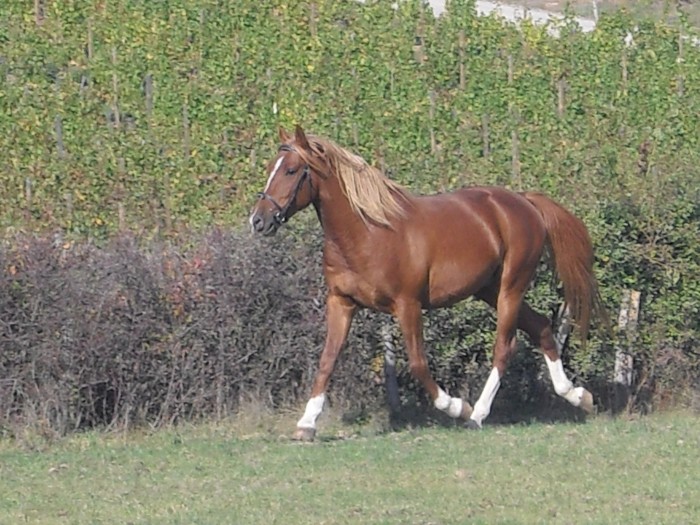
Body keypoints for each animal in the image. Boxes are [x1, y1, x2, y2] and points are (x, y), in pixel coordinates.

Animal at [249, 125, 604, 440]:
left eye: (292, 170)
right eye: (269, 168)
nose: (258, 220)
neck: (368, 232)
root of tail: (524, 201)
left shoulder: (408, 305)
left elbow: (419, 364)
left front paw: (456, 406)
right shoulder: (341, 302)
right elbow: (327, 360)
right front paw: (306, 424)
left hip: (510, 289)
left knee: (505, 347)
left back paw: (477, 414)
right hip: (488, 289)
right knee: (541, 327)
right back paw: (578, 396)